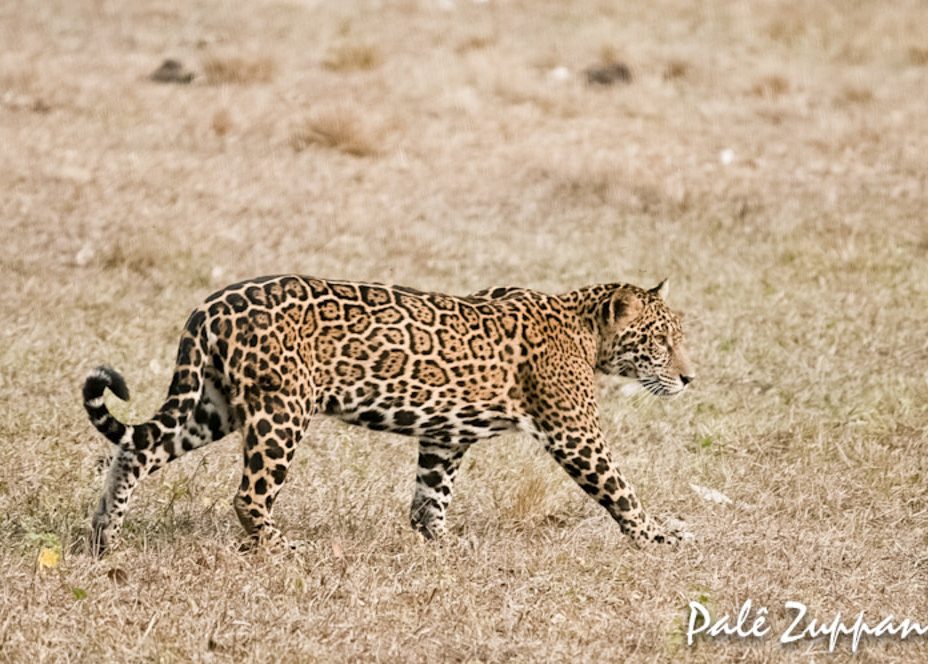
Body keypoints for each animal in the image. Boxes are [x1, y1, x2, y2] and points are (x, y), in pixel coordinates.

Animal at [83, 275, 695, 555]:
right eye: (661, 342)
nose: (690, 379)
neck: (586, 331)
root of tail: (210, 304)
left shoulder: (446, 436)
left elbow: (431, 494)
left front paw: (442, 542)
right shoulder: (574, 432)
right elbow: (620, 488)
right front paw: (658, 536)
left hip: (212, 405)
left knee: (136, 447)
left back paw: (105, 536)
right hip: (282, 410)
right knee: (249, 494)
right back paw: (284, 550)